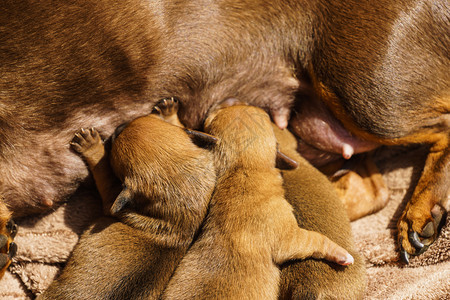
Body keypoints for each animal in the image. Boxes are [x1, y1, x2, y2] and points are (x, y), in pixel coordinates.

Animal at [41, 98, 217, 298]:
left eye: (116, 139)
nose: (118, 127)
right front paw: (170, 114)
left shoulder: (111, 197)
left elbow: (103, 168)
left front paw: (92, 146)